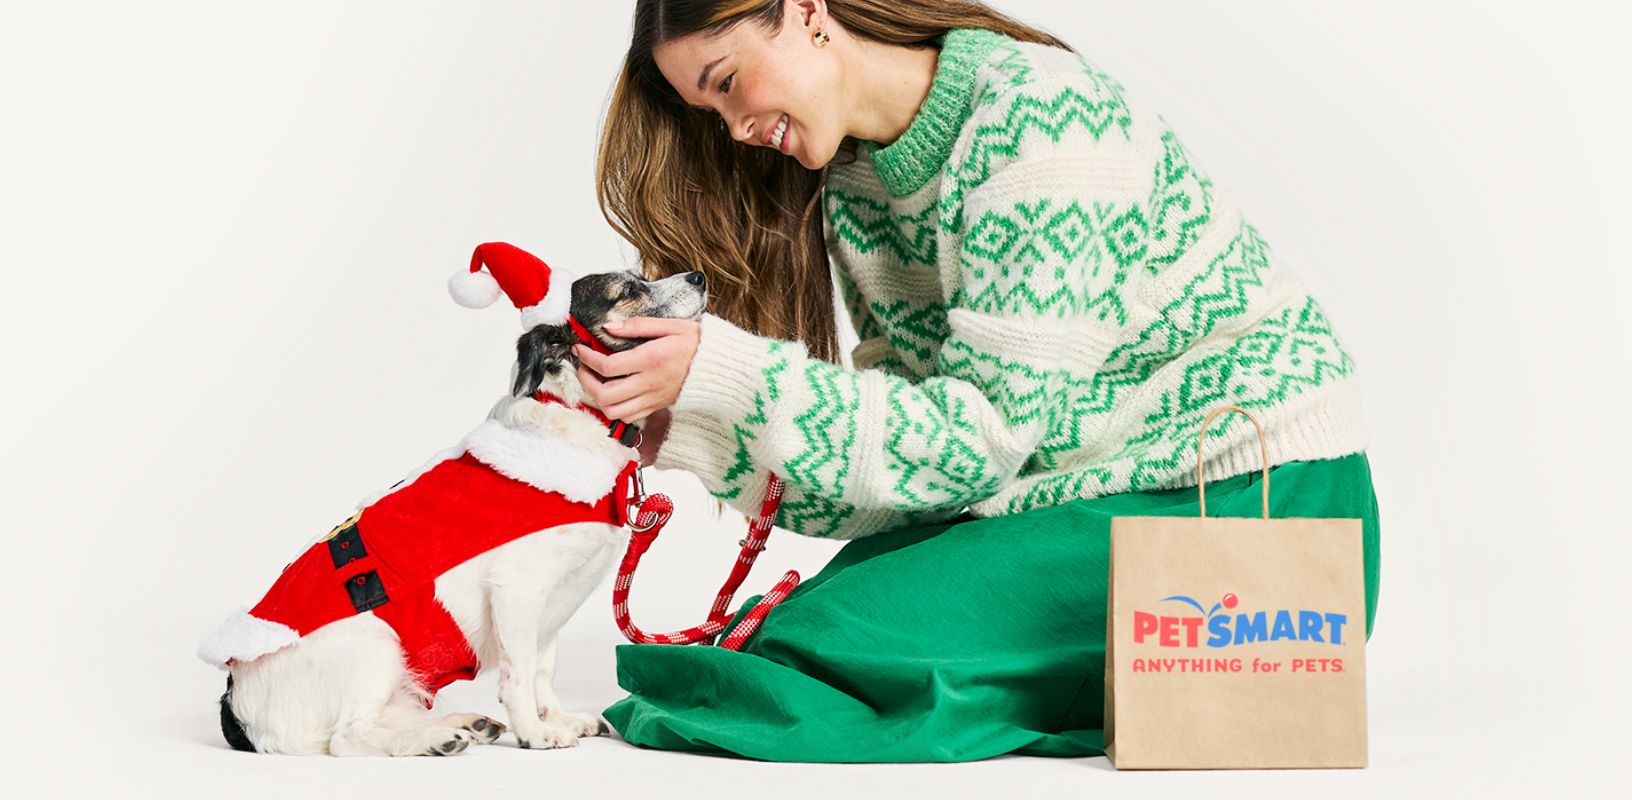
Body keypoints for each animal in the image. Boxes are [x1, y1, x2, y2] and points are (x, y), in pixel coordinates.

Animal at [197, 266, 708, 754]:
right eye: (628, 290)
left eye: (641, 277)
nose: (699, 277)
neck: (577, 419)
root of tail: (236, 707)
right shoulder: (517, 590)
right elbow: (520, 676)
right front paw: (534, 733)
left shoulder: (551, 607)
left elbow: (543, 672)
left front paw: (557, 719)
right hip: (377, 646)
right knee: (348, 737)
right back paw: (434, 740)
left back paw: (461, 724)